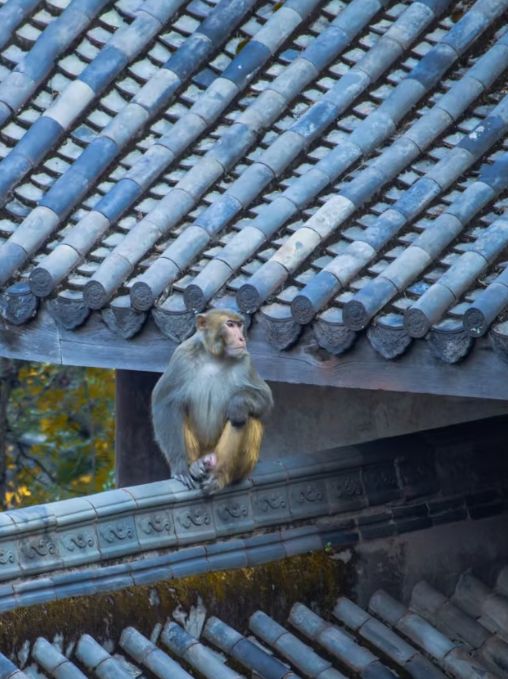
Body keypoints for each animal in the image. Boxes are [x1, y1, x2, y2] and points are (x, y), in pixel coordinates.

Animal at [151, 308, 274, 494]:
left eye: (239, 325)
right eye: (229, 324)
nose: (241, 338)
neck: (214, 357)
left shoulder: (245, 360)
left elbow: (265, 399)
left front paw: (237, 404)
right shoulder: (181, 356)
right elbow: (165, 403)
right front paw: (180, 467)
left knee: (244, 418)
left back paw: (219, 476)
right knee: (178, 410)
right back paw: (195, 466)